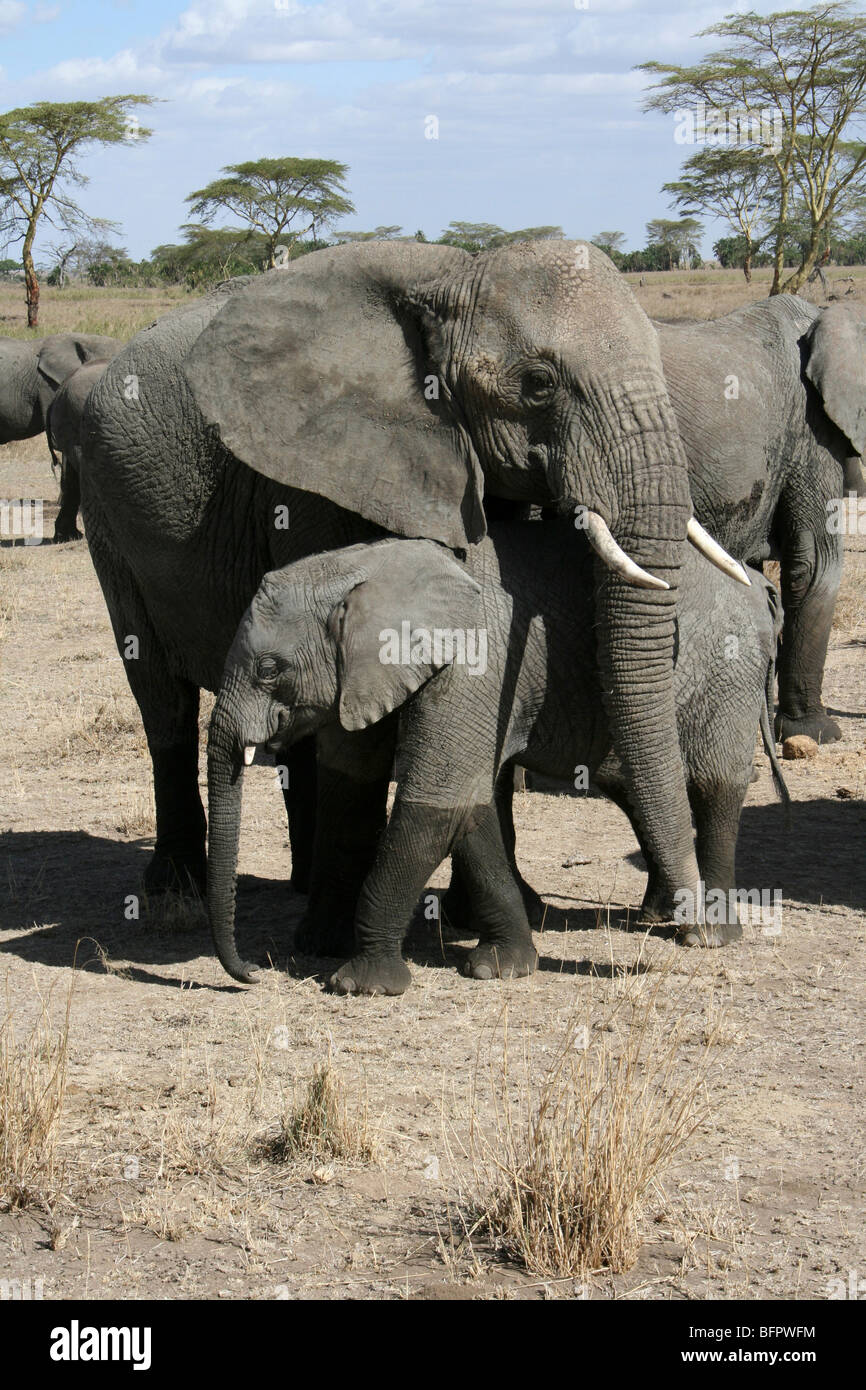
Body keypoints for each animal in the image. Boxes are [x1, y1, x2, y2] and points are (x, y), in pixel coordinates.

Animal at [81, 244, 739, 945]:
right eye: (539, 383)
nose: (692, 929)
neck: (450, 280)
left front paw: (485, 915)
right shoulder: (320, 469)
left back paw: (301, 881)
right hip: (107, 515)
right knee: (162, 698)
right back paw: (178, 894)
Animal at [207, 519, 783, 989]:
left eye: (268, 670)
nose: (252, 972)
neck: (372, 565)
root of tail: (759, 587)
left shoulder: (474, 665)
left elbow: (436, 799)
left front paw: (361, 984)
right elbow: (462, 804)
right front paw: (502, 966)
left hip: (729, 669)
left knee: (714, 784)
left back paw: (708, 934)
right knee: (639, 784)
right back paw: (661, 917)